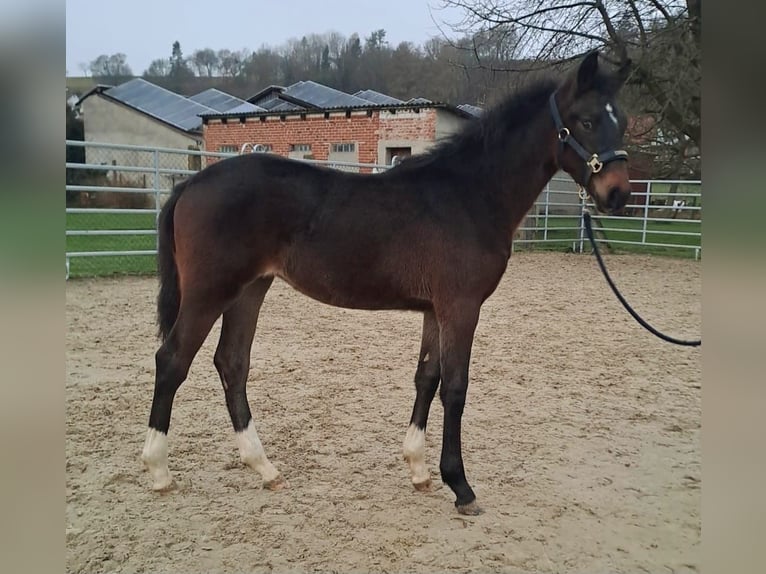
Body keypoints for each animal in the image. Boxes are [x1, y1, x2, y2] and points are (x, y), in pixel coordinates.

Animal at [144, 50, 636, 516]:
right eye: (587, 120)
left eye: (624, 122)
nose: (618, 194)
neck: (469, 195)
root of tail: (191, 184)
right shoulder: (461, 307)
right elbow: (456, 387)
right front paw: (460, 486)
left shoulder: (436, 309)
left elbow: (427, 378)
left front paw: (419, 470)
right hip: (210, 292)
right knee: (172, 360)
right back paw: (159, 471)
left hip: (250, 289)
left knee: (232, 363)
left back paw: (264, 468)